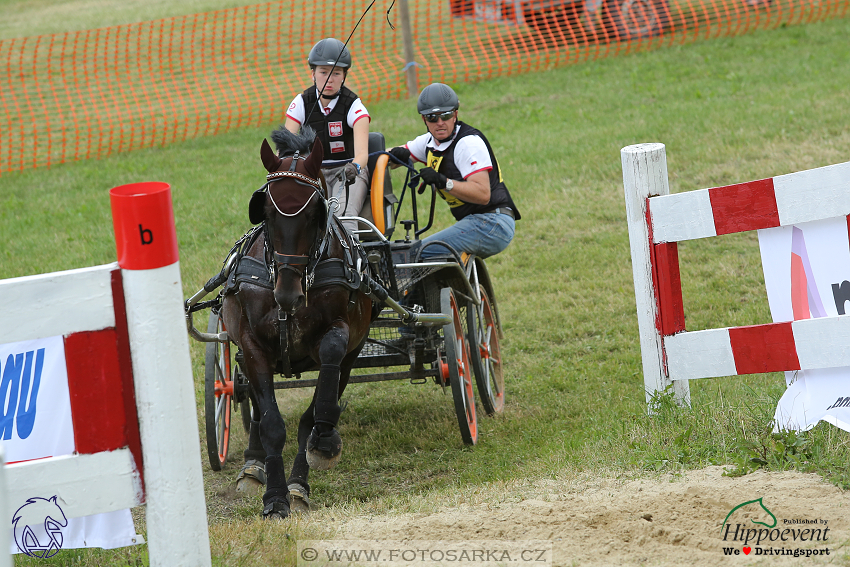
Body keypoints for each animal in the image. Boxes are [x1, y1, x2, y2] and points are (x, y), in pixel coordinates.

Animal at [220, 129, 376, 520]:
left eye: (313, 214)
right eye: (266, 212)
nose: (287, 294)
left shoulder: (342, 335)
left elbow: (315, 411)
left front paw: (317, 452)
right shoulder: (251, 345)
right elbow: (272, 423)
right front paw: (274, 497)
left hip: (353, 354)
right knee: (254, 405)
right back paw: (252, 466)